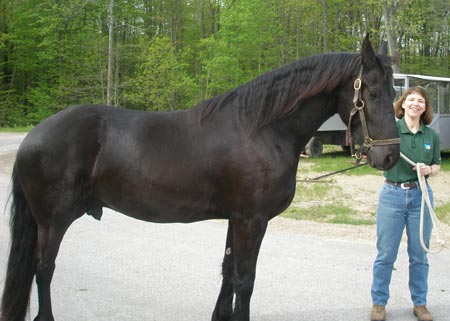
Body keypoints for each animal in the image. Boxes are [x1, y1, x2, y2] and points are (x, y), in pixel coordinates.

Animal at [1, 35, 400, 320]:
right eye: (371, 93)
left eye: (395, 92)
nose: (390, 156)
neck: (260, 129)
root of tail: (33, 136)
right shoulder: (252, 221)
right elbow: (245, 280)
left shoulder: (235, 219)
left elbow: (227, 272)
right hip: (53, 221)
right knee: (44, 268)